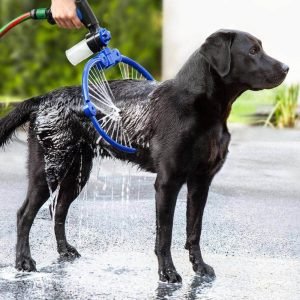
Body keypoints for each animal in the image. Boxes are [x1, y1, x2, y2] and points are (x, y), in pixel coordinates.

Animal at [0, 29, 288, 282]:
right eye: (252, 51)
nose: (286, 68)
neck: (204, 109)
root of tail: (42, 99)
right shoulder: (167, 182)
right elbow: (165, 235)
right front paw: (167, 273)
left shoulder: (201, 182)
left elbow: (194, 231)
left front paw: (199, 267)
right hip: (49, 170)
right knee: (24, 214)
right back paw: (23, 261)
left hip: (77, 173)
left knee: (58, 211)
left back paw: (64, 251)